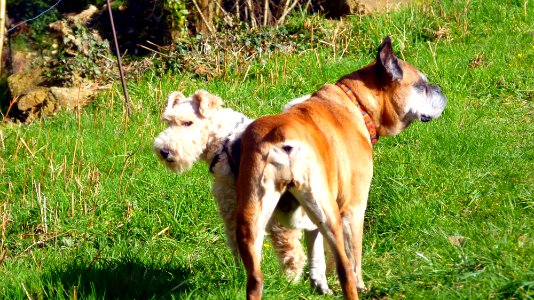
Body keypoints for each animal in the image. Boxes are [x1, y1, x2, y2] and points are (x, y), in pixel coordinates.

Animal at [153, 90, 332, 294]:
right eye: (168, 121)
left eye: (188, 122)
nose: (164, 151)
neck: (222, 139)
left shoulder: (231, 203)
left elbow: (237, 242)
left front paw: (239, 271)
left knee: (292, 249)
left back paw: (289, 282)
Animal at [234, 36, 448, 298]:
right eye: (422, 85)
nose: (440, 90)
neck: (357, 103)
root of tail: (280, 137)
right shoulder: (354, 209)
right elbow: (354, 256)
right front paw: (360, 284)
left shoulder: (311, 218)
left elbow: (316, 255)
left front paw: (319, 286)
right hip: (331, 216)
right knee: (346, 267)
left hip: (252, 219)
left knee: (255, 278)